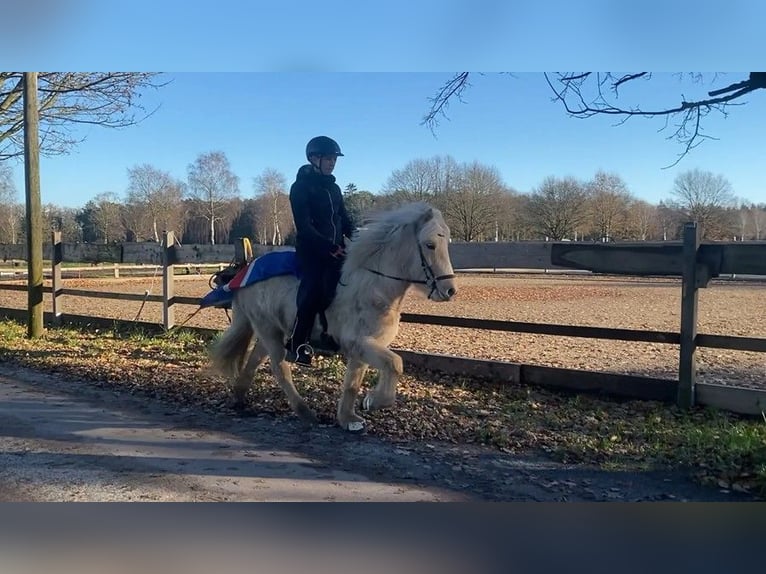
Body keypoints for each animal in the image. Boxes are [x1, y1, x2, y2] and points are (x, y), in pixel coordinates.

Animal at [210, 202, 460, 432]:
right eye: (430, 245)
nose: (449, 291)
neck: (374, 286)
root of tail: (244, 271)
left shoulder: (364, 347)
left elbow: (353, 382)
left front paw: (348, 418)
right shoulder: (358, 342)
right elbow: (395, 363)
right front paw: (373, 401)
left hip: (273, 330)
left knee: (255, 361)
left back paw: (238, 397)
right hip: (268, 330)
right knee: (280, 368)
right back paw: (305, 412)